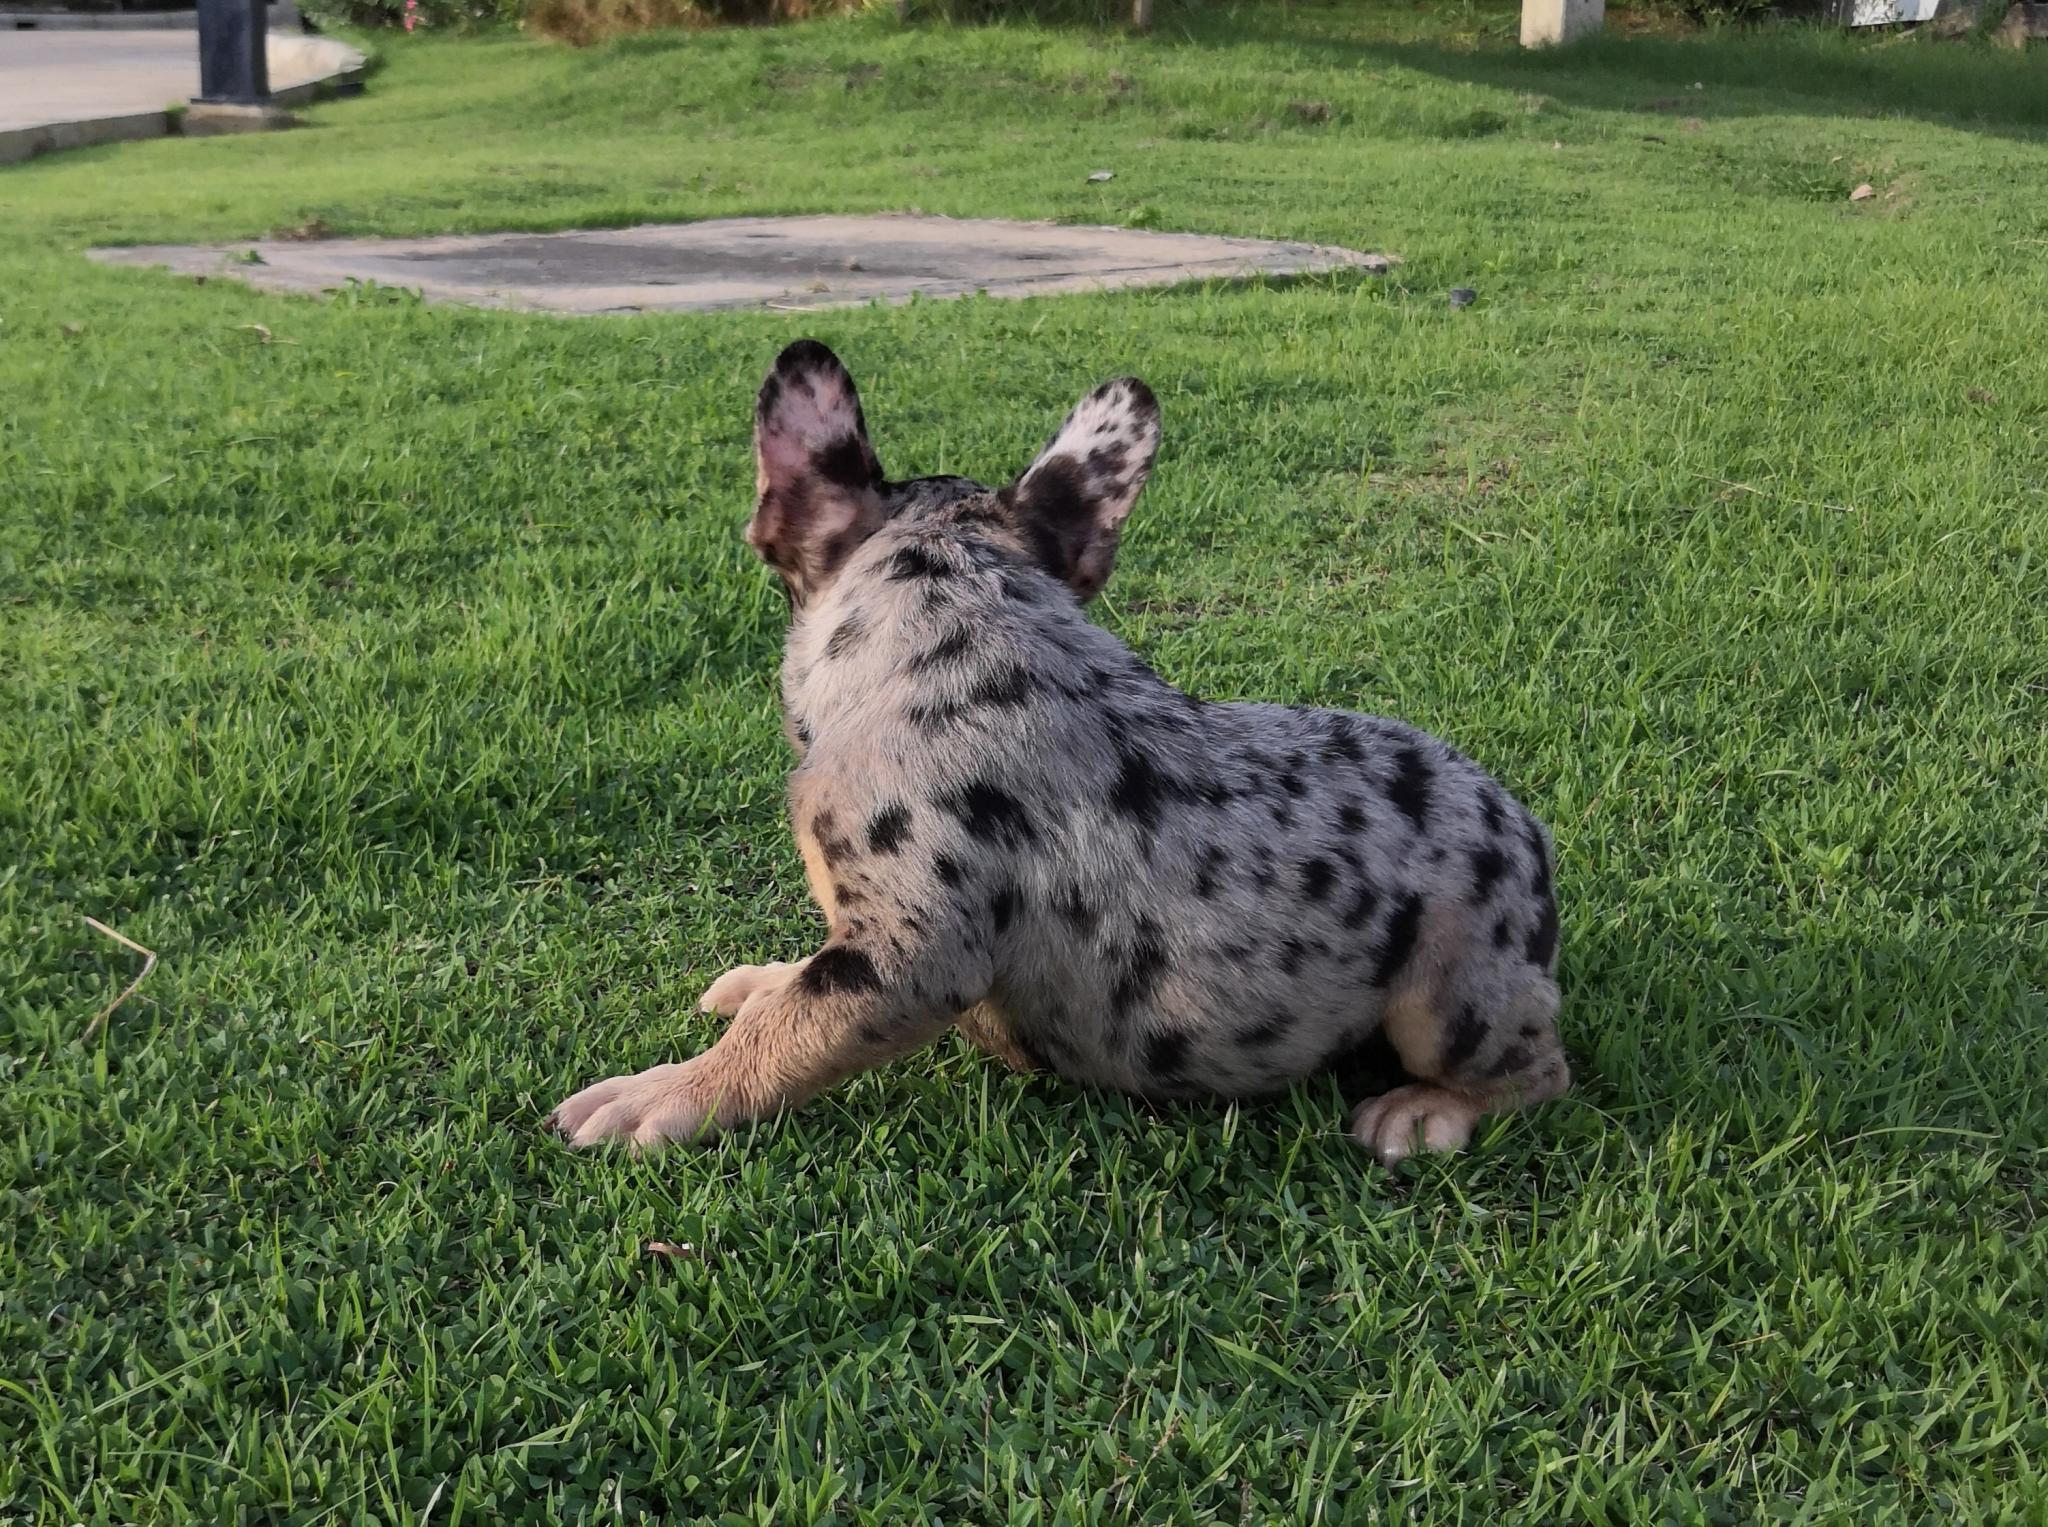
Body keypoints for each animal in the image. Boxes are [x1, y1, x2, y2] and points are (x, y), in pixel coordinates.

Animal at [550, 340, 1569, 1163]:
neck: (960, 615)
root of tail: (1532, 839)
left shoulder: (909, 952)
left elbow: (792, 1030)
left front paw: (658, 1095)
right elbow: (798, 985)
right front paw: (761, 983)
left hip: (1452, 995)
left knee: (1538, 1071)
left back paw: (1421, 1114)